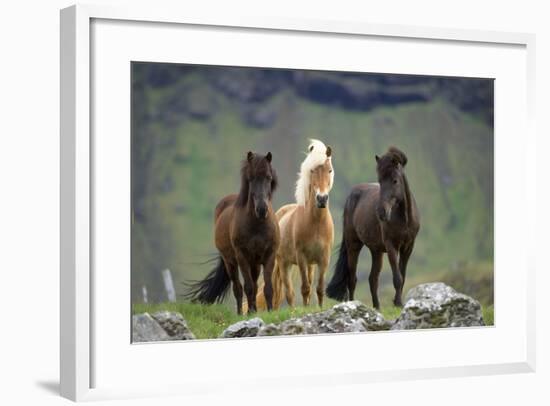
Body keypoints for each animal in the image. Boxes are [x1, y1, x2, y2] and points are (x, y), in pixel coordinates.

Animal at [184, 152, 280, 314]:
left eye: (268, 177)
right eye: (250, 178)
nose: (261, 210)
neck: (258, 225)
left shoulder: (269, 257)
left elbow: (267, 288)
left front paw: (270, 312)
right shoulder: (242, 258)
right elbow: (247, 287)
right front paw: (249, 313)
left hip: (255, 264)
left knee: (254, 286)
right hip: (231, 263)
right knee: (238, 289)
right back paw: (242, 313)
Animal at [258, 140, 336, 308]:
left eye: (330, 170)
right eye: (312, 170)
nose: (321, 199)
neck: (316, 224)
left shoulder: (323, 259)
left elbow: (319, 289)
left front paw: (320, 309)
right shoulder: (301, 258)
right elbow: (305, 289)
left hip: (310, 265)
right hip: (284, 263)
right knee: (289, 293)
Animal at [326, 146, 420, 308]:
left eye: (395, 180)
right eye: (380, 181)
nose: (381, 212)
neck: (404, 219)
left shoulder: (408, 247)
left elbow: (402, 276)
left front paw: (398, 302)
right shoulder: (391, 247)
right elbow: (397, 278)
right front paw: (398, 303)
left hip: (376, 251)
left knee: (372, 279)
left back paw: (377, 307)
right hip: (353, 245)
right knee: (352, 279)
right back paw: (352, 304)